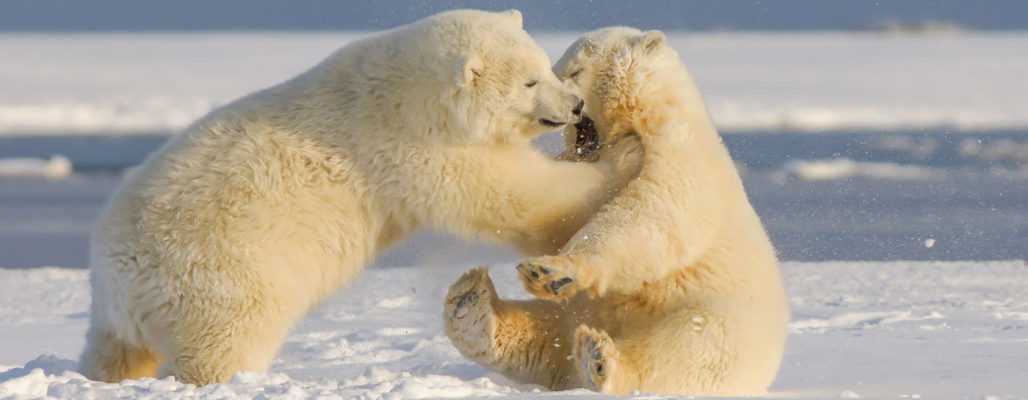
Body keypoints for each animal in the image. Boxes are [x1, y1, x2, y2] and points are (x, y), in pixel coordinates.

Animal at [80, 10, 641, 382]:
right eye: (528, 82)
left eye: (547, 66)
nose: (575, 105)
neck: (405, 93)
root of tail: (116, 276)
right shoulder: (412, 147)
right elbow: (515, 194)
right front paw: (628, 157)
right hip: (223, 277)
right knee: (223, 345)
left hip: (127, 313)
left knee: (114, 350)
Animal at [446, 28, 789, 394]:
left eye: (573, 71)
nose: (567, 105)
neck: (651, 116)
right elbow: (558, 215)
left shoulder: (681, 157)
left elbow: (649, 216)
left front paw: (551, 270)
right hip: (579, 311)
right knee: (545, 333)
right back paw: (471, 306)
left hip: (714, 320)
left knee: (685, 349)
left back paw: (599, 360)